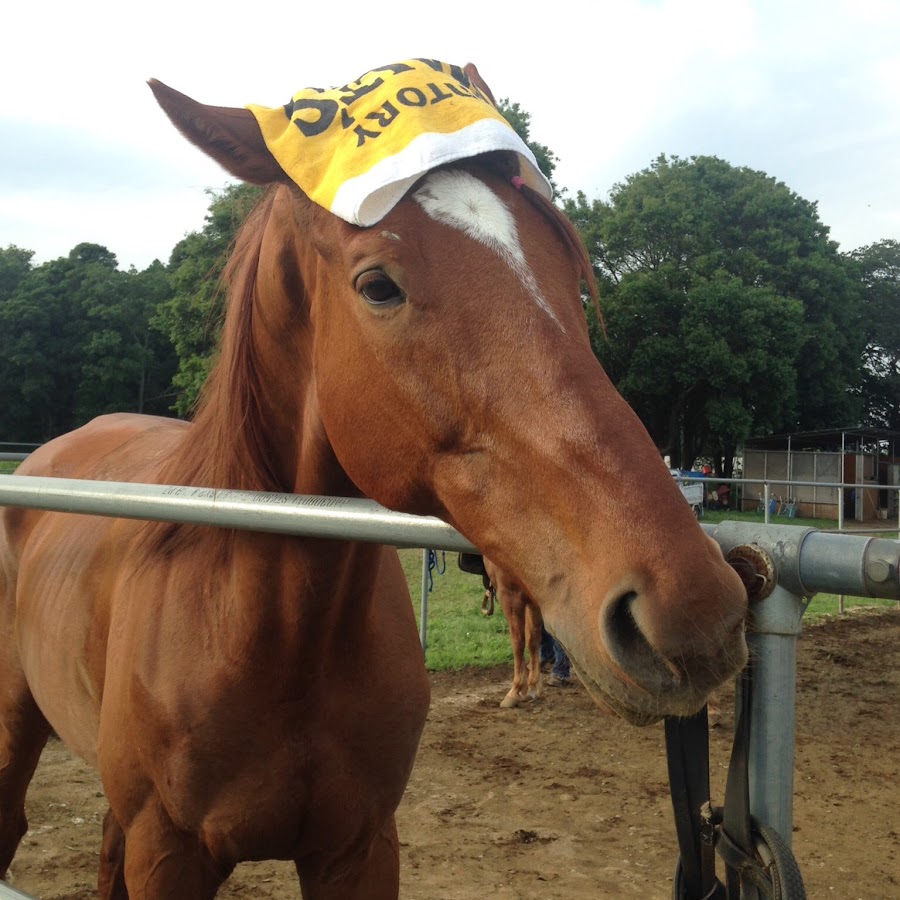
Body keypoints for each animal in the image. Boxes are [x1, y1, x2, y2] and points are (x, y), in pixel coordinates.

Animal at [0, 62, 748, 899]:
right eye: (379, 286)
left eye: (569, 273)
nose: (697, 611)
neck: (269, 633)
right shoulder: (169, 855)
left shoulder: (360, 848)